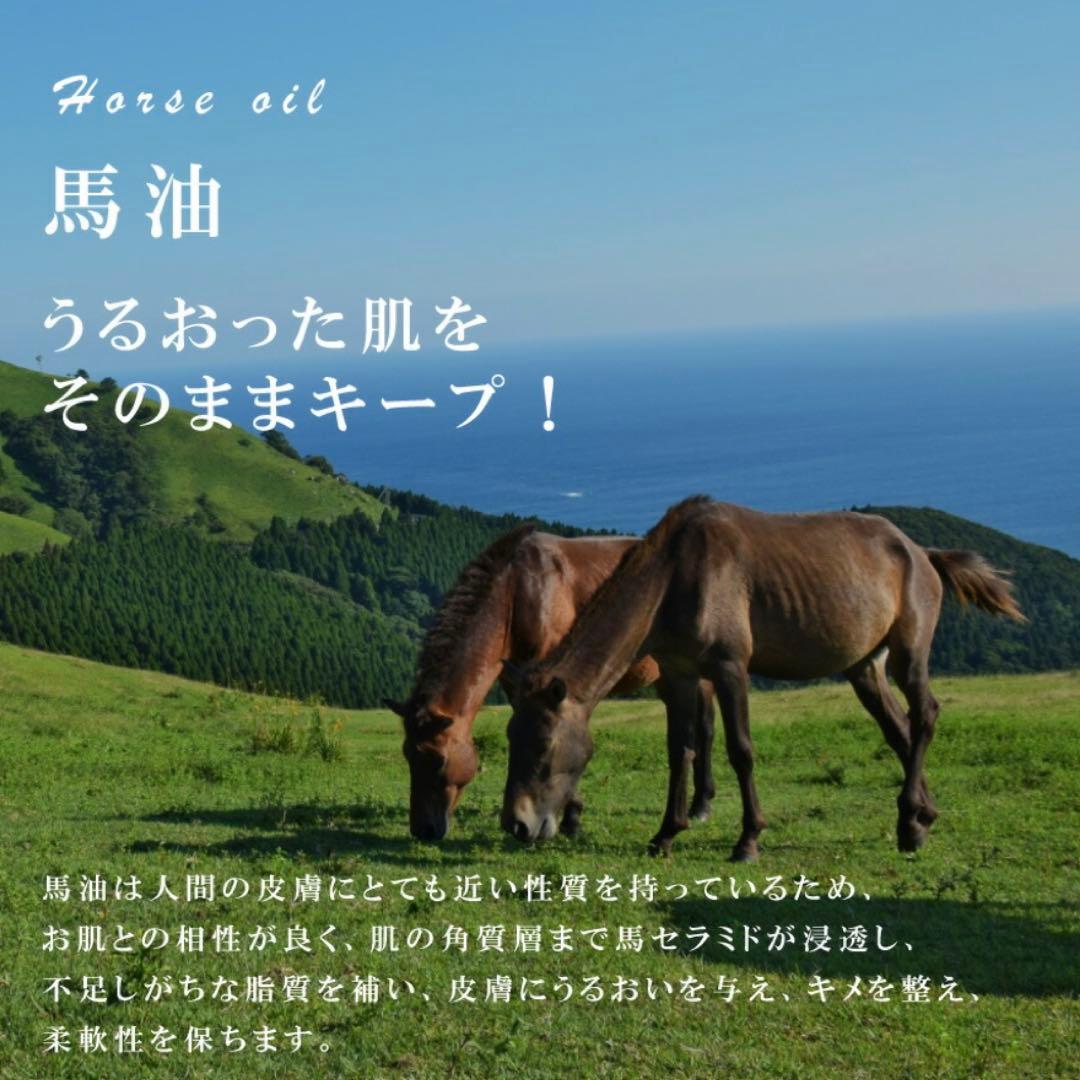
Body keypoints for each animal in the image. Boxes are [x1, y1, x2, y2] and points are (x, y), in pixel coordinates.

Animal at [384, 524, 717, 841]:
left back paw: (701, 804)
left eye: (438, 761)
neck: (517, 592)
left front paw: (570, 816)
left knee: (705, 728)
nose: (423, 829)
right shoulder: (517, 680)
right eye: (408, 756)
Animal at [501, 497, 1025, 858]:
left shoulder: (730, 667)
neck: (675, 576)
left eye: (544, 746)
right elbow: (679, 751)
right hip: (865, 666)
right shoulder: (680, 672)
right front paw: (666, 833)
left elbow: (741, 750)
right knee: (899, 730)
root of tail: (921, 552)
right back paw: (922, 816)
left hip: (908, 651)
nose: (516, 824)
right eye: (510, 741)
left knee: (925, 714)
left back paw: (910, 825)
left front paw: (748, 840)